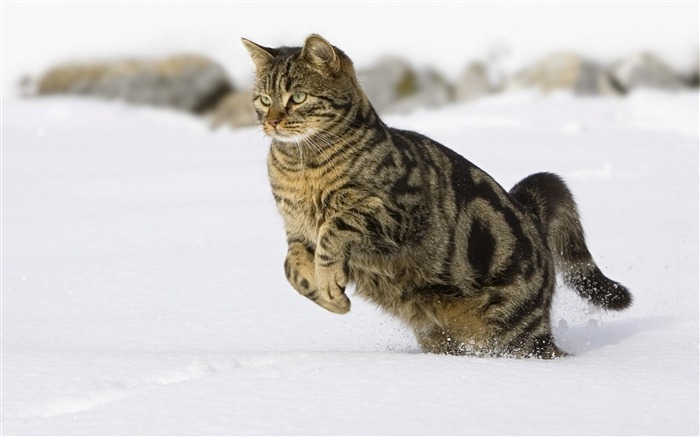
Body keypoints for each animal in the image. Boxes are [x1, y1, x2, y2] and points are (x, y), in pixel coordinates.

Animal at [243, 35, 632, 358]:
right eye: (263, 99)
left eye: (298, 97)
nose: (272, 121)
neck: (301, 167)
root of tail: (530, 213)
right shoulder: (295, 229)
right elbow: (290, 264)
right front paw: (330, 298)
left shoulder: (395, 213)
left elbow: (333, 229)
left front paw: (329, 282)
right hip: (442, 335)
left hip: (515, 334)